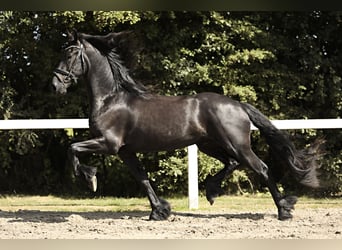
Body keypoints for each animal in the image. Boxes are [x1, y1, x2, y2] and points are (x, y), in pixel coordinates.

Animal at [52, 30, 322, 221]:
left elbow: (72, 148)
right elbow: (143, 179)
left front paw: (90, 179)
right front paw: (160, 211)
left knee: (261, 168)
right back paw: (212, 191)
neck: (110, 100)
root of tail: (238, 104)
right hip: (208, 145)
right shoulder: (125, 151)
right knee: (232, 163)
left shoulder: (108, 144)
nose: (56, 85)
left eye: (70, 54)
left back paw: (284, 210)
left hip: (236, 145)